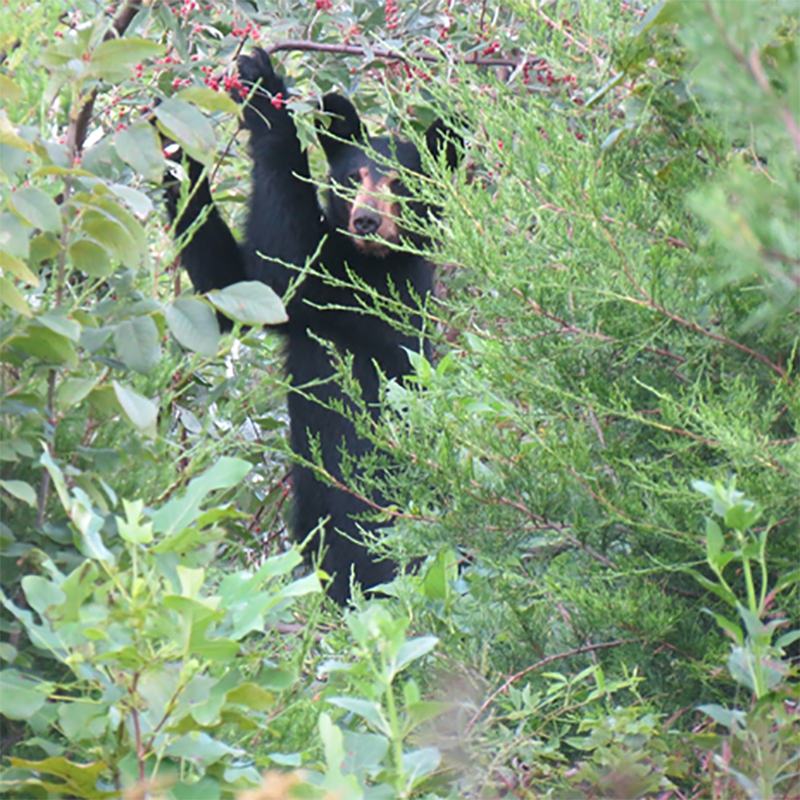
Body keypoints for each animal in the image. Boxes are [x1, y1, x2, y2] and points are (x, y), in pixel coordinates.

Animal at [167, 48, 459, 604]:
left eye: (400, 183)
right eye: (353, 177)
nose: (367, 220)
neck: (368, 259)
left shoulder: (366, 297)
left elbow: (283, 261)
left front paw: (265, 93)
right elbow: (230, 288)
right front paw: (174, 147)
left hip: (371, 507)